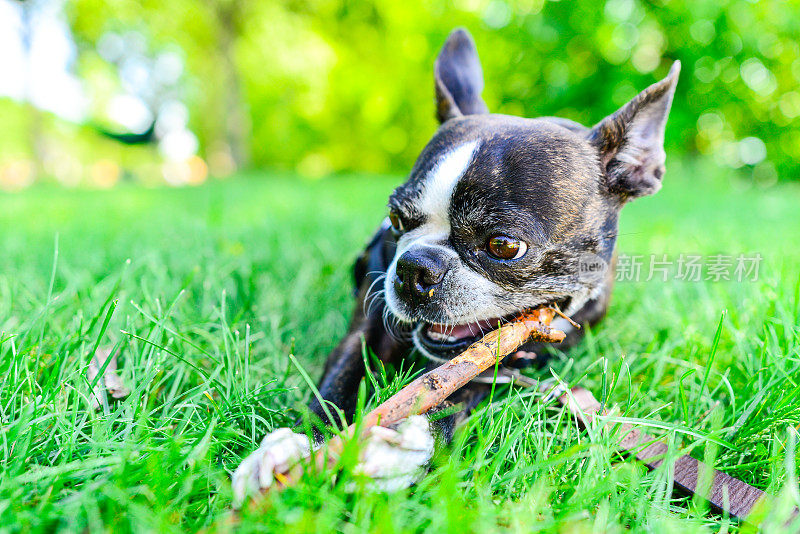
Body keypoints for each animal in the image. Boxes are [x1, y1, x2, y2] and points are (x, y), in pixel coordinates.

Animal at [233, 27, 680, 504]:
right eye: (395, 220)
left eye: (504, 245)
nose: (414, 268)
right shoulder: (366, 330)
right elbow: (338, 386)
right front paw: (299, 450)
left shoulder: (503, 370)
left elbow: (454, 393)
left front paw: (404, 446)